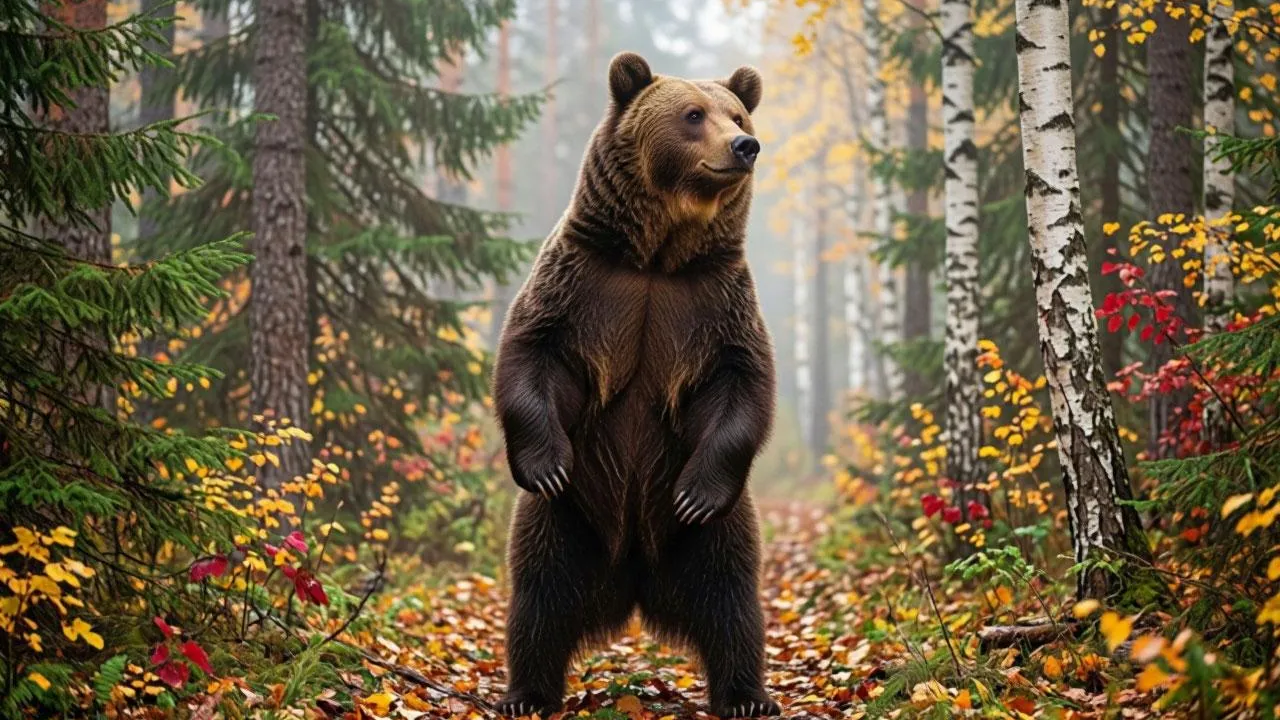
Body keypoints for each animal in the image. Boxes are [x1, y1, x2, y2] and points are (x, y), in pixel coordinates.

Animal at [492, 51, 778, 719]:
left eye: (737, 114)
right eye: (693, 114)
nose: (745, 145)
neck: (657, 256)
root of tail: (634, 575)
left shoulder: (715, 301)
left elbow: (743, 382)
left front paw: (695, 492)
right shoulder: (583, 282)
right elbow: (530, 352)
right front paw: (545, 462)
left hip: (716, 533)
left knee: (732, 601)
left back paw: (747, 695)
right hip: (563, 523)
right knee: (538, 600)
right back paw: (526, 692)